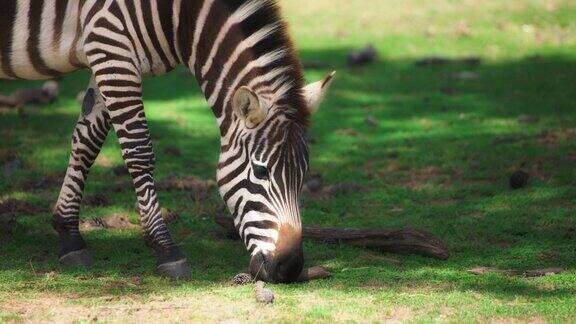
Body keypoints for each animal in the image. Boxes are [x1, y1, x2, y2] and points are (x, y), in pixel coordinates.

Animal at [0, 0, 332, 282]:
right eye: (261, 171)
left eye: (303, 175)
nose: (290, 268)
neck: (178, 15)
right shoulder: (111, 45)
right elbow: (138, 149)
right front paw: (165, 248)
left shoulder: (105, 54)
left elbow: (87, 141)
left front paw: (69, 234)